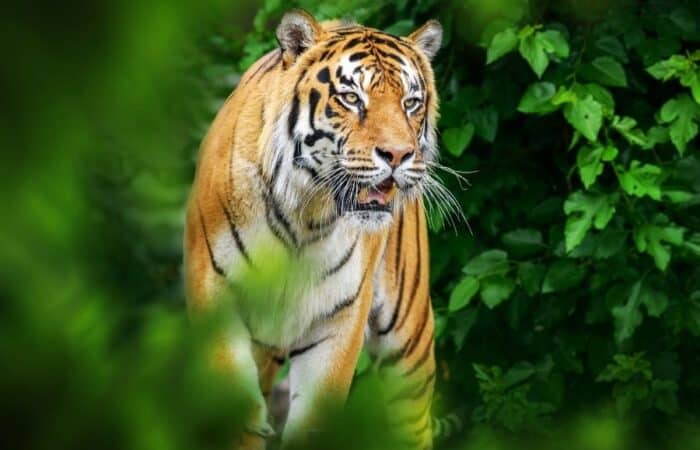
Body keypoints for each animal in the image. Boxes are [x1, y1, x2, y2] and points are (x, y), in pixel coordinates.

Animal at [184, 9, 443, 450]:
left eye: (411, 103)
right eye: (352, 98)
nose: (398, 155)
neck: (305, 216)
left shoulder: (338, 319)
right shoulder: (216, 299)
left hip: (409, 342)